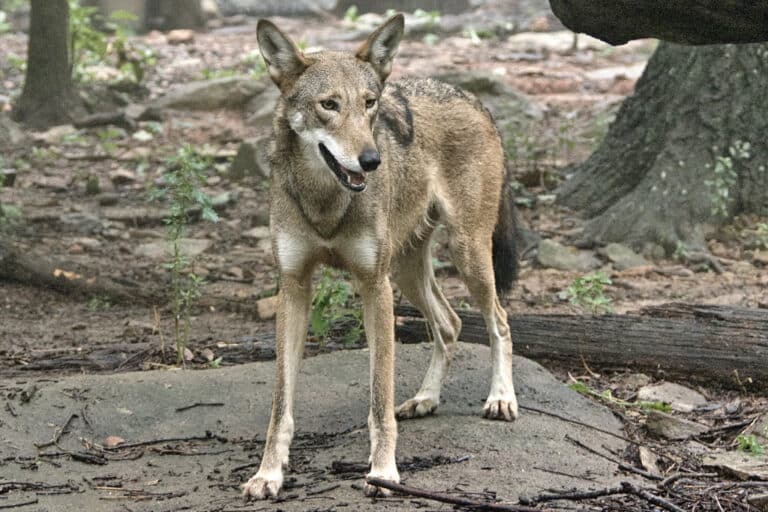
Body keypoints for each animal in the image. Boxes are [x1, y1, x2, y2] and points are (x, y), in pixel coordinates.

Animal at [243, 13, 519, 499]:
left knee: (499, 321)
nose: (371, 161)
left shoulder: (374, 287)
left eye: (369, 103)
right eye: (329, 105)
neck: (325, 203)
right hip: (407, 271)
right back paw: (426, 400)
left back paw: (501, 398)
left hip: (465, 254)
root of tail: (470, 96)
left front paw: (384, 472)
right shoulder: (294, 287)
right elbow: (280, 405)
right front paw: (268, 474)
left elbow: (379, 399)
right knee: (450, 323)